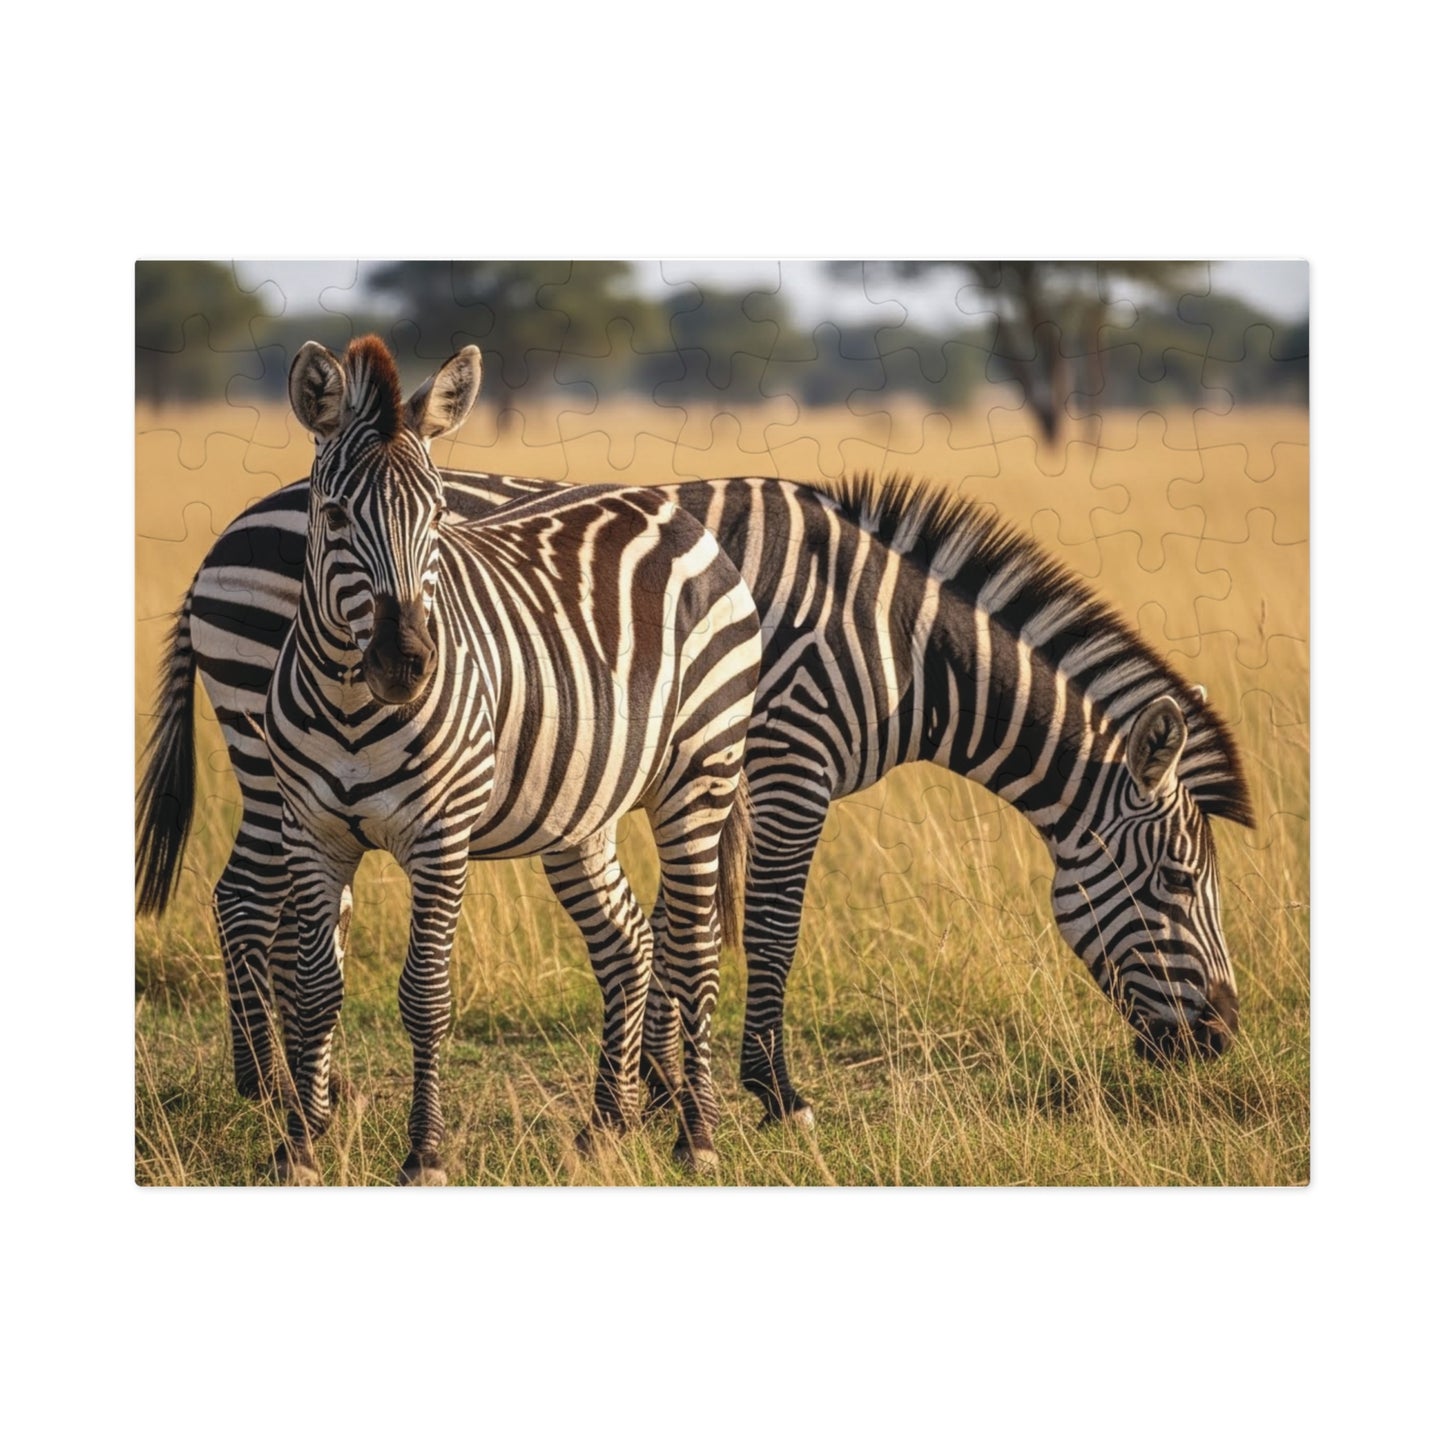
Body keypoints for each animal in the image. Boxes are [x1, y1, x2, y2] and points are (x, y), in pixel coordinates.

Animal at [139, 458, 1253, 1133]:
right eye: (1176, 878)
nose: (1222, 1036)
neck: (902, 650)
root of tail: (228, 532)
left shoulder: (724, 770)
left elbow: (695, 924)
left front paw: (668, 1085)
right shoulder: (792, 760)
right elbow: (767, 926)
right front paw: (773, 1091)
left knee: (264, 901)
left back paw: (290, 1084)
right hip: (273, 744)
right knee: (245, 899)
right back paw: (270, 1088)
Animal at [146, 335, 760, 1181]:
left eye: (438, 516)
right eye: (333, 515)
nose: (405, 663)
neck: (351, 705)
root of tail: (670, 512)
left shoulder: (439, 840)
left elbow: (425, 994)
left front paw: (423, 1150)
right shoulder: (315, 831)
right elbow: (315, 986)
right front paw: (300, 1142)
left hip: (699, 772)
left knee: (691, 947)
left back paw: (694, 1131)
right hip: (577, 808)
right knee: (628, 942)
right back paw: (605, 1126)